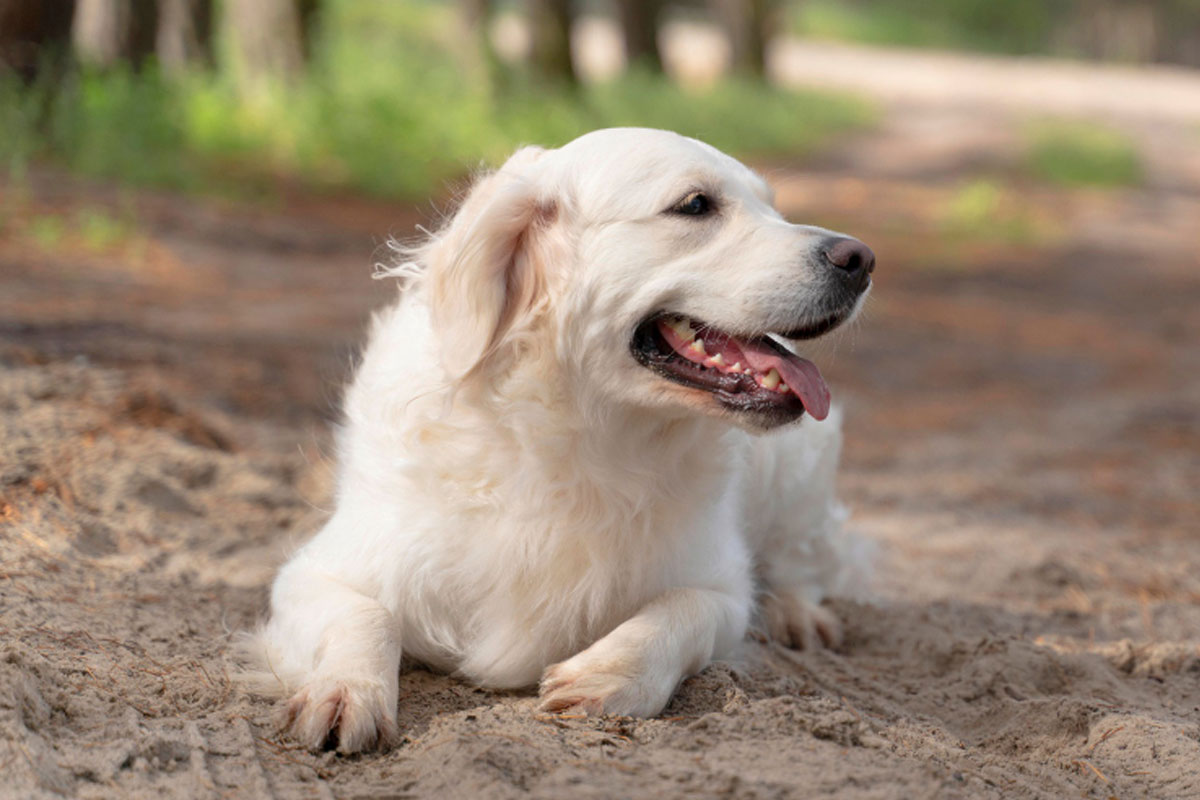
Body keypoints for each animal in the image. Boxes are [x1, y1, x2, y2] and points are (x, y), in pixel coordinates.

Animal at [250, 128, 873, 753]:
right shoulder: (318, 570)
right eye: (696, 204)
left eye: (773, 207)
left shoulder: (722, 587)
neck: (576, 437)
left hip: (802, 472)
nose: (861, 259)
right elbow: (365, 616)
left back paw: (799, 613)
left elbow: (683, 611)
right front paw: (345, 691)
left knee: (804, 557)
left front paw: (605, 675)